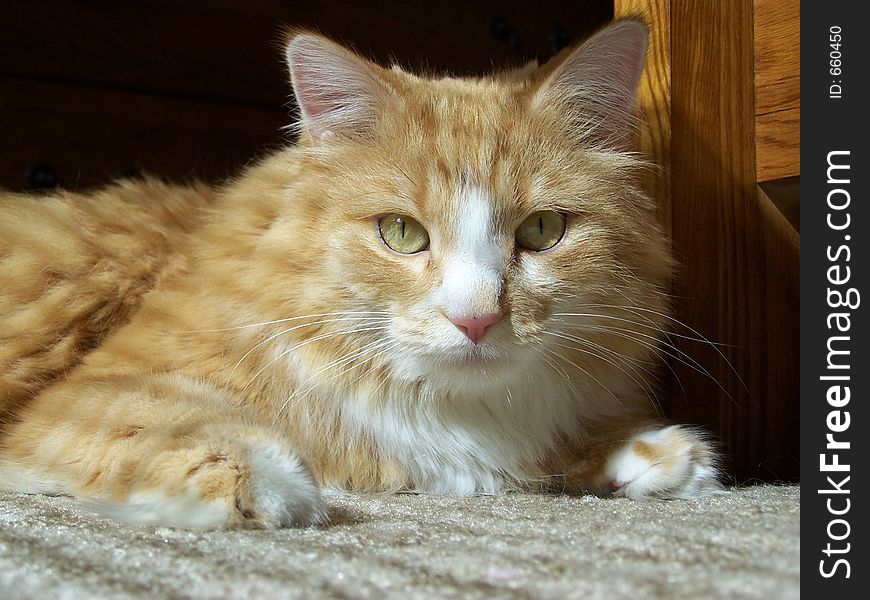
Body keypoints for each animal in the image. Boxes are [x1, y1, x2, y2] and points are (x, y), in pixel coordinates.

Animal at [0, 18, 724, 528]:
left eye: (542, 231)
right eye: (401, 233)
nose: (477, 319)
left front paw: (648, 455)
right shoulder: (85, 393)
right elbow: (179, 418)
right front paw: (275, 483)